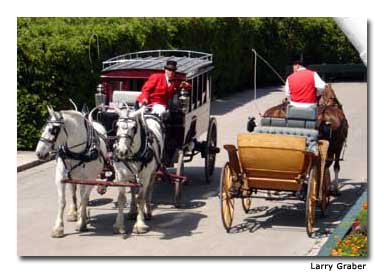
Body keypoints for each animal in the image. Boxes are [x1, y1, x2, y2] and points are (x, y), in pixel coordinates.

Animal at [35, 105, 124, 236]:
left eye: (53, 130)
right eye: (44, 128)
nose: (39, 153)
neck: (77, 152)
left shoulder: (90, 179)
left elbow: (84, 199)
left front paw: (82, 223)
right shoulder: (60, 177)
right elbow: (62, 201)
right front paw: (58, 227)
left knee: (83, 195)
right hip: (73, 176)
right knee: (73, 192)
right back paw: (73, 212)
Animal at [112, 105, 164, 233]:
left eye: (134, 127)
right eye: (117, 125)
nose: (122, 151)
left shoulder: (145, 177)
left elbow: (141, 198)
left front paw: (140, 224)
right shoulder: (120, 175)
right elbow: (121, 198)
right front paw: (119, 225)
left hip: (152, 173)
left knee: (149, 190)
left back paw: (148, 211)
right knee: (133, 190)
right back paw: (132, 211)